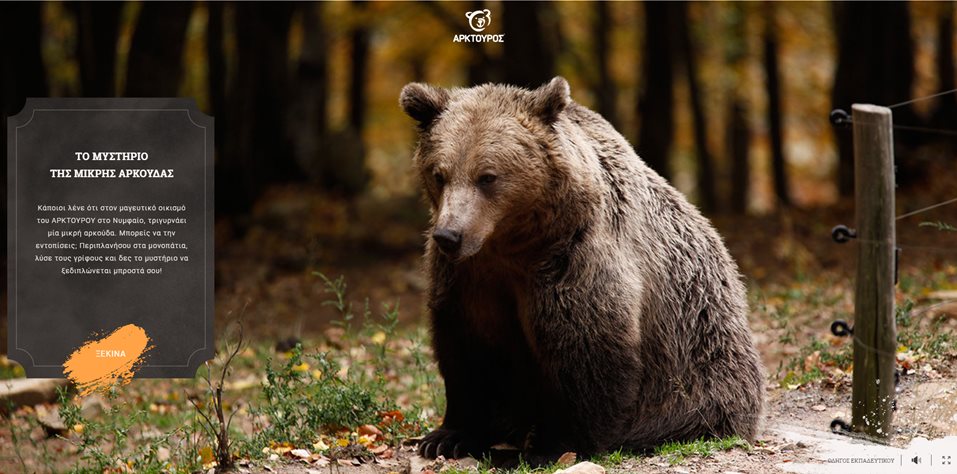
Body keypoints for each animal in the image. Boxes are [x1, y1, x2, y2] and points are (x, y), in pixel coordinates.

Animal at [400, 77, 764, 462]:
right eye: (440, 175)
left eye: (487, 177)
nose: (449, 235)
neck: (512, 244)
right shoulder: (469, 277)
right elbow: (467, 348)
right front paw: (447, 436)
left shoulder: (572, 261)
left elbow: (585, 350)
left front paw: (551, 446)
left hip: (699, 362)